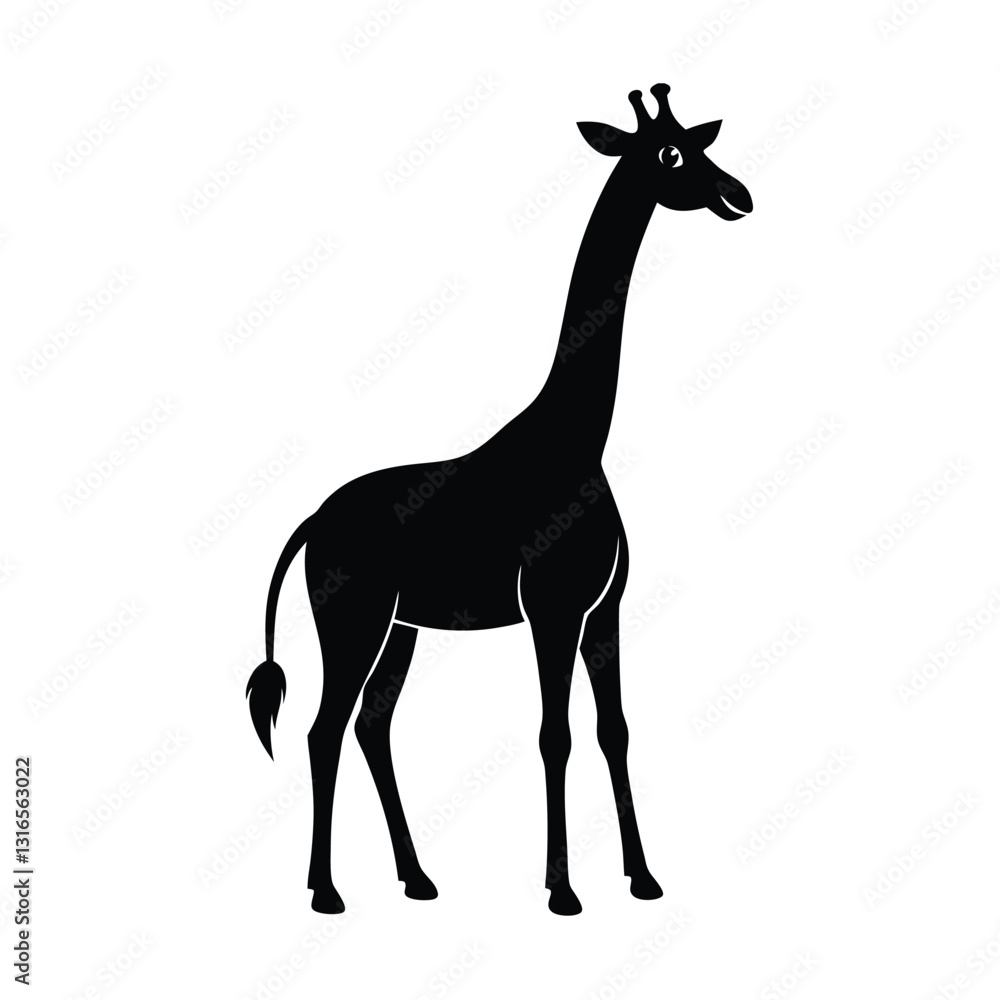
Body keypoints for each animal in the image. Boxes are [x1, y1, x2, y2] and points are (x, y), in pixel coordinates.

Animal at [246, 83, 752, 916]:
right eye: (671, 153)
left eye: (698, 140)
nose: (738, 195)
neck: (577, 438)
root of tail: (313, 522)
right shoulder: (551, 607)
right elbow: (556, 734)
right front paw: (563, 891)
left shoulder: (602, 608)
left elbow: (614, 728)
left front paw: (643, 878)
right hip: (352, 619)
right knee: (325, 728)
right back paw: (325, 892)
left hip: (401, 626)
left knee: (372, 725)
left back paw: (418, 879)